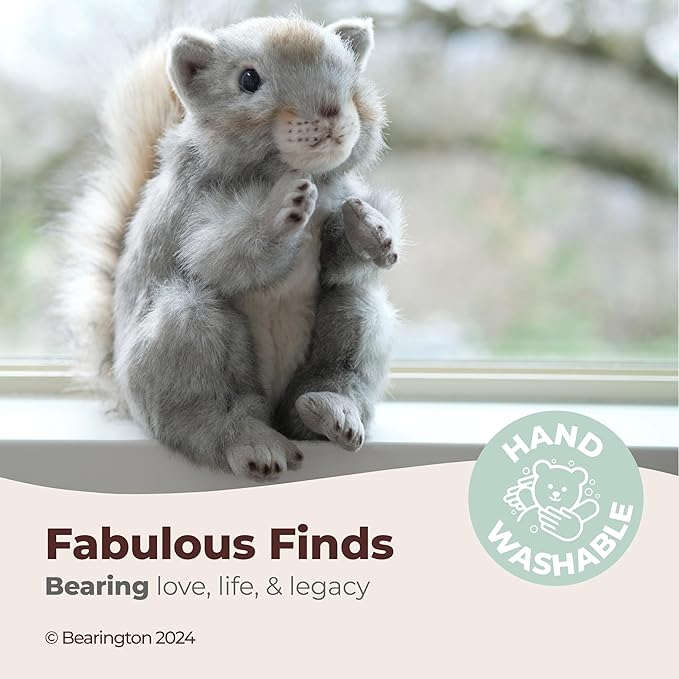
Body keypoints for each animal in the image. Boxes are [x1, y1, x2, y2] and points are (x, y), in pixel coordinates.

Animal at [58, 15, 403, 481]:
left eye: (350, 69)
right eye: (248, 80)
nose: (331, 112)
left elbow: (341, 261)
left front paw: (369, 228)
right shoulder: (193, 218)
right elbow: (224, 254)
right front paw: (279, 209)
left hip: (359, 319)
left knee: (336, 360)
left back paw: (332, 411)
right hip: (186, 335)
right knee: (206, 415)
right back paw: (251, 442)